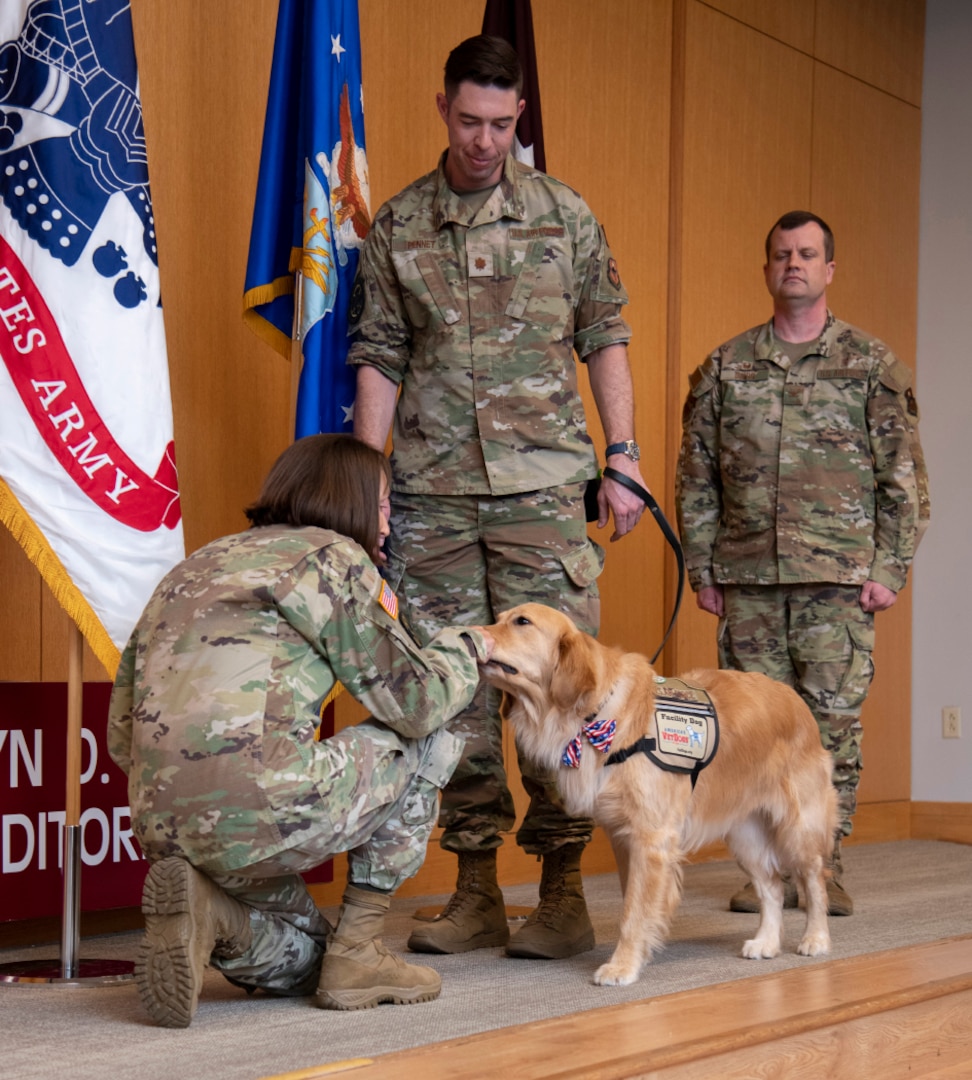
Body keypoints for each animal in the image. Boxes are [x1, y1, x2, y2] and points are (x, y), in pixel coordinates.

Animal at [481, 600, 838, 989]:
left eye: (522, 622)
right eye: (498, 619)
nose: (471, 634)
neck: (594, 714)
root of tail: (794, 698)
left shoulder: (651, 838)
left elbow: (635, 911)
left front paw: (622, 966)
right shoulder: (623, 838)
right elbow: (632, 902)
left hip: (798, 827)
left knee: (815, 879)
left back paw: (817, 938)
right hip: (746, 834)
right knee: (772, 886)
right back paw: (766, 942)